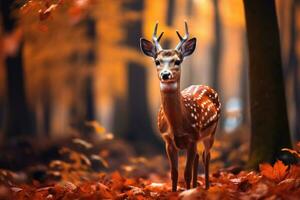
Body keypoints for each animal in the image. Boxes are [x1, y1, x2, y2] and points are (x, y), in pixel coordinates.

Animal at [139, 21, 220, 191]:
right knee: (199, 156)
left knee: (207, 156)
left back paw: (206, 187)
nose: (165, 74)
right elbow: (174, 173)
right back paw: (196, 186)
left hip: (211, 132)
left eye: (177, 61)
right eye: (157, 61)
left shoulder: (193, 137)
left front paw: (187, 192)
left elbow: (186, 173)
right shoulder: (167, 140)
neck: (178, 124)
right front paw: (175, 192)